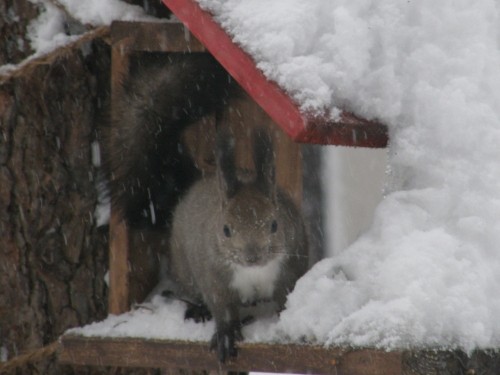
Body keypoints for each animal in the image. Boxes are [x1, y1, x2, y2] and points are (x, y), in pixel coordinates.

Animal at [169, 129, 308, 364]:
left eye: (274, 224)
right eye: (226, 230)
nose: (252, 257)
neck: (253, 271)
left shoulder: (290, 269)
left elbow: (285, 298)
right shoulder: (215, 278)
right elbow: (223, 308)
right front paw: (226, 336)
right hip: (184, 271)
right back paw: (199, 310)